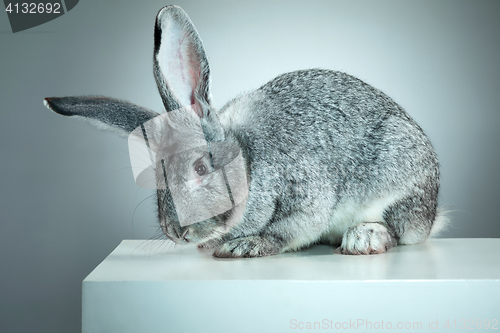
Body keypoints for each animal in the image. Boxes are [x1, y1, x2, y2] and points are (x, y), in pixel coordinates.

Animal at [43, 6, 446, 258]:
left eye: (200, 169)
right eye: (158, 177)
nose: (177, 233)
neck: (248, 163)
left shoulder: (308, 196)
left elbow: (289, 230)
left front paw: (246, 247)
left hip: (401, 176)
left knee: (401, 232)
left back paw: (364, 238)